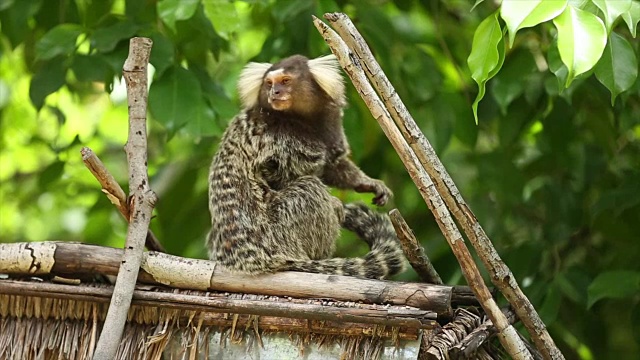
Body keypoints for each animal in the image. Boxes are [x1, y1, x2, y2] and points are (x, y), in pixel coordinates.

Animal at [208, 54, 402, 278]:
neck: (302, 120)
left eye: (285, 81)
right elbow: (269, 175)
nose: (275, 92)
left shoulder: (330, 124)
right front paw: (335, 203)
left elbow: (332, 166)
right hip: (279, 237)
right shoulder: (273, 138)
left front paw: (367, 183)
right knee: (310, 188)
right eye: (269, 83)